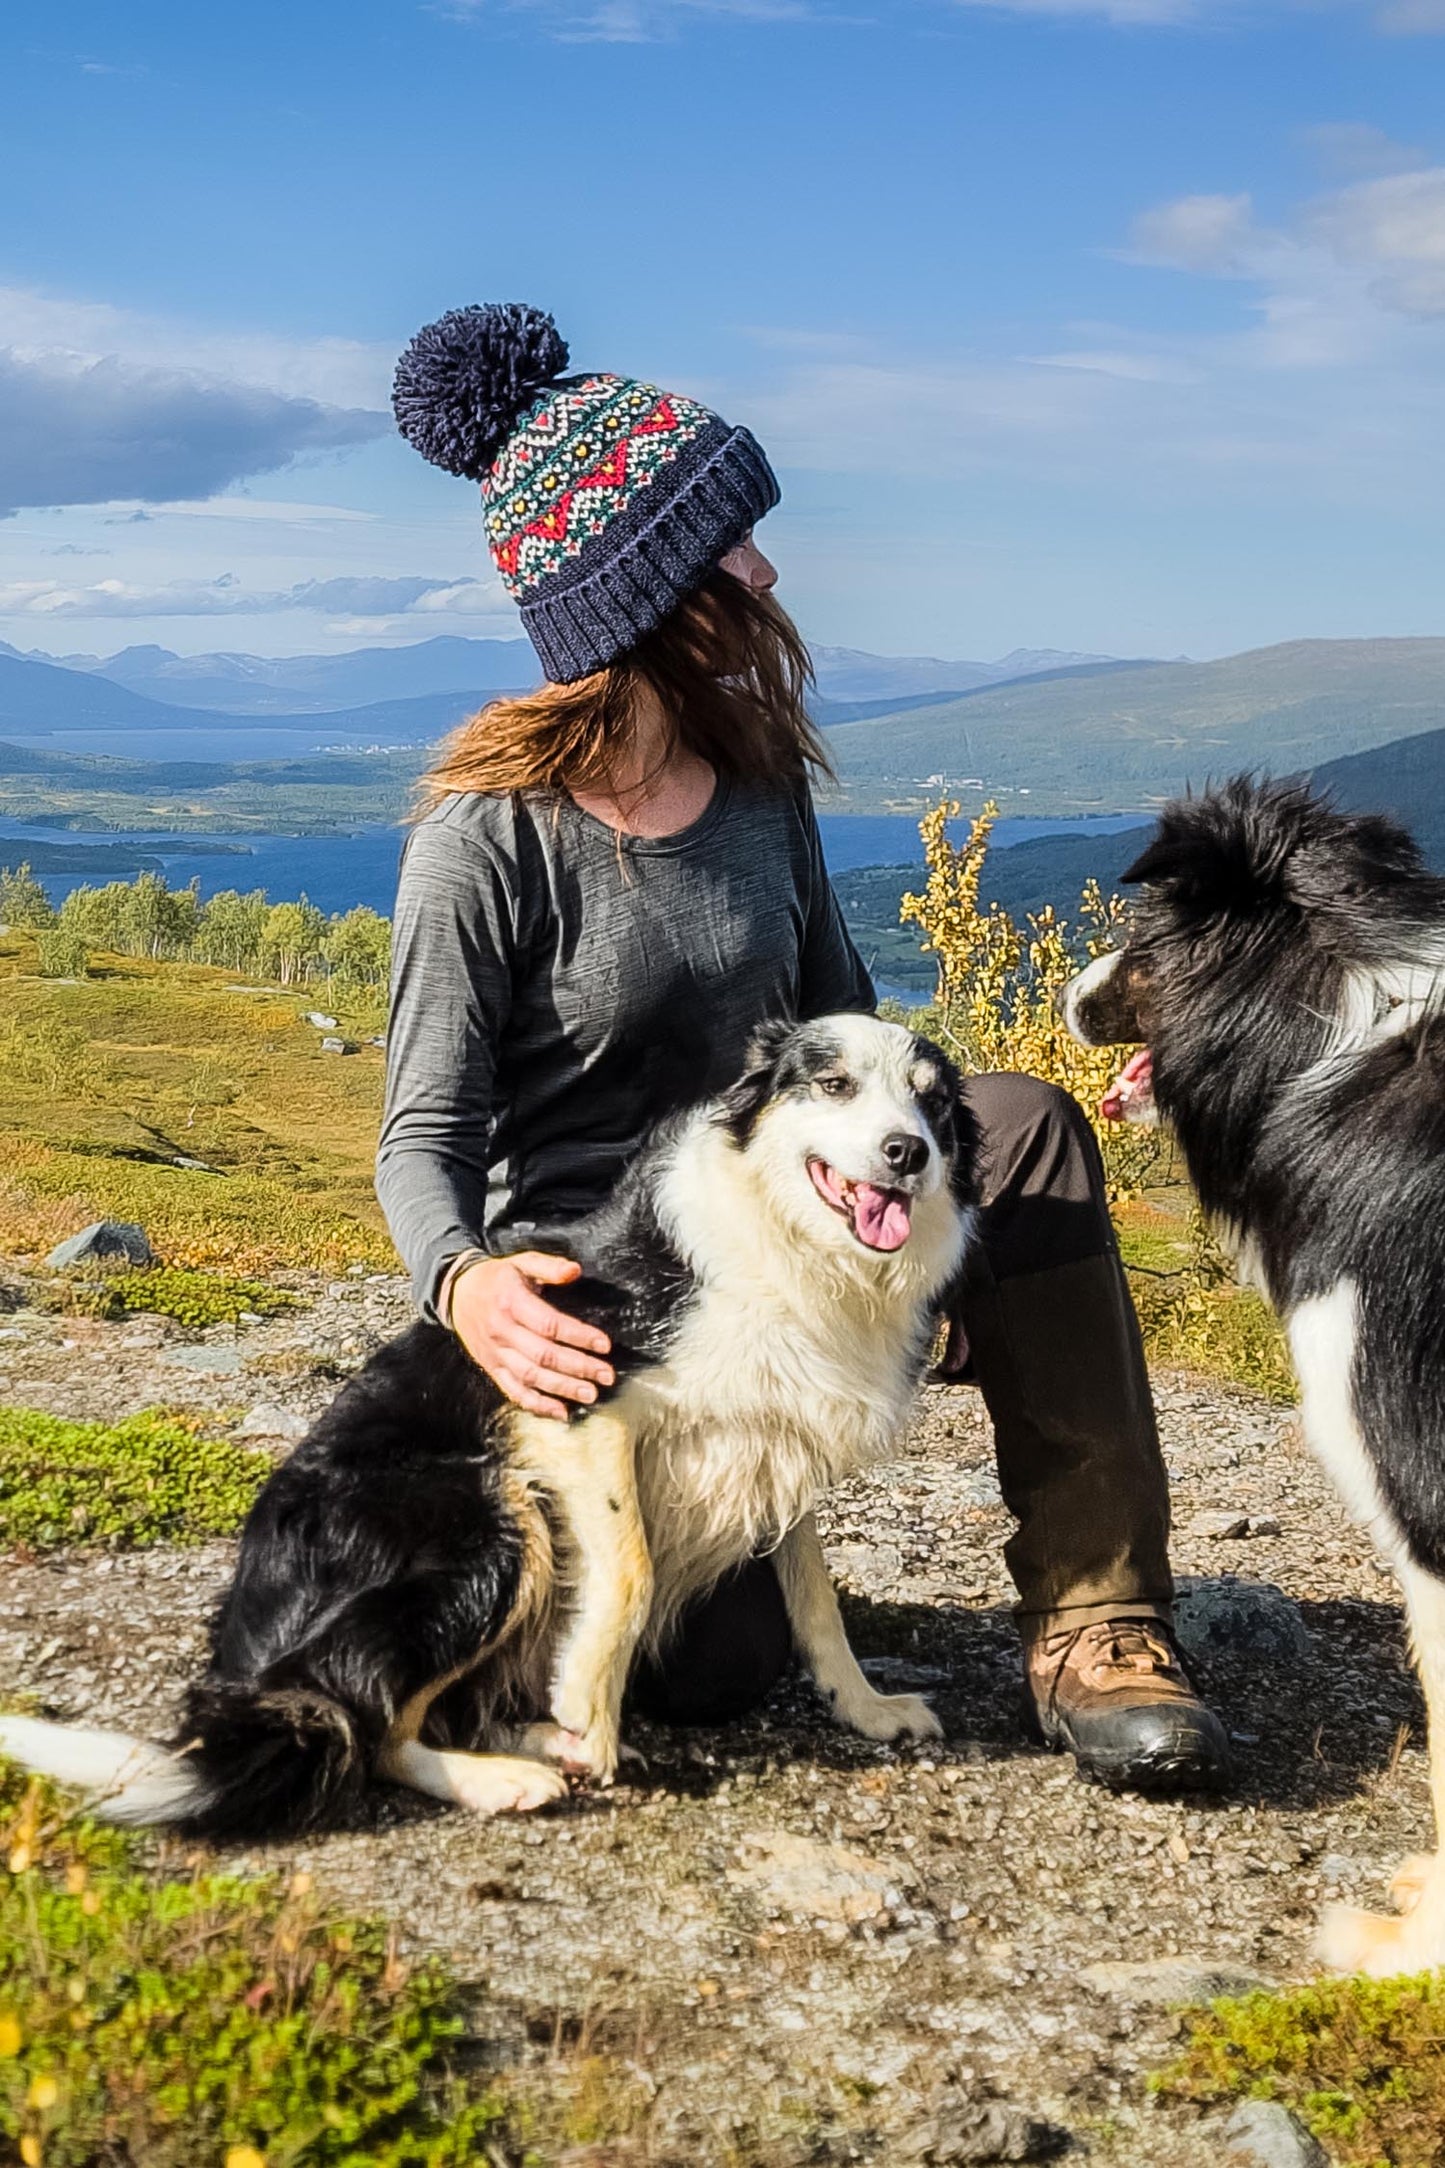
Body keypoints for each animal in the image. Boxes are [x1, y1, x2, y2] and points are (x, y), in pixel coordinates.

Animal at [0, 1014, 979, 1847]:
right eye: (834, 1083)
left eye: (932, 1101)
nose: (908, 1153)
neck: (799, 1252)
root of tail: (248, 1650)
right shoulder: (579, 1405)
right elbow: (629, 1573)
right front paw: (592, 1709)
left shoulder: (780, 1441)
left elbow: (815, 1601)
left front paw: (867, 1707)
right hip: (486, 1516)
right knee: (373, 1724)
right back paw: (513, 1773)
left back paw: (538, 1741)